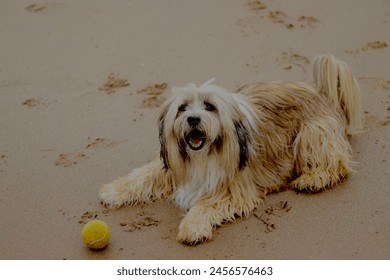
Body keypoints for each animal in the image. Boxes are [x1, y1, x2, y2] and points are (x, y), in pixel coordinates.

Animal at [99, 55, 364, 245]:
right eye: (182, 108)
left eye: (209, 106)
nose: (193, 119)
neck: (202, 157)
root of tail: (322, 92)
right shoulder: (171, 166)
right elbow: (142, 176)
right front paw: (114, 190)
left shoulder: (233, 186)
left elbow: (207, 203)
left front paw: (192, 226)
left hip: (312, 133)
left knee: (337, 163)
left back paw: (313, 179)